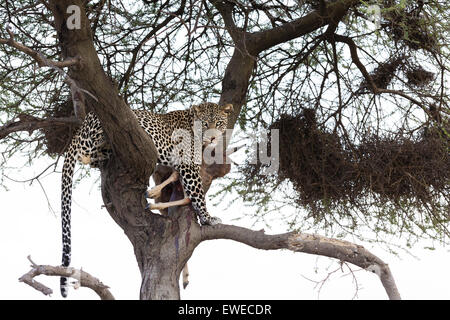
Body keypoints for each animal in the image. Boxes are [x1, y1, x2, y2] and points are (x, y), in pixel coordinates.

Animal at [59, 102, 232, 298]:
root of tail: (82, 126)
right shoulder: (188, 166)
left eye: (218, 123)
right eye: (205, 124)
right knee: (86, 154)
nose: (212, 138)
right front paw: (208, 218)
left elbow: (187, 191)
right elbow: (197, 194)